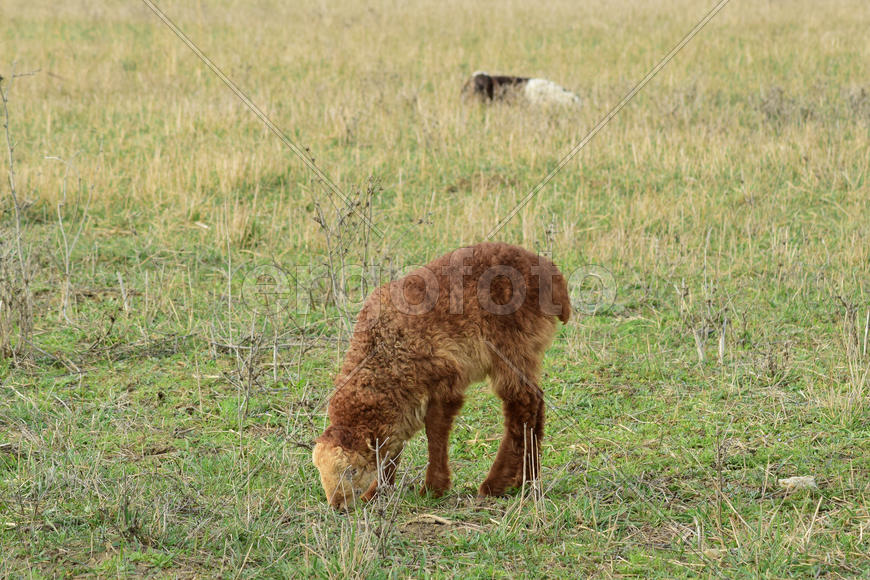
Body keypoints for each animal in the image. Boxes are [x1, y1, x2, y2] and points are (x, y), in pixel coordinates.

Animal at [312, 242, 571, 509]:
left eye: (352, 470)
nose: (337, 506)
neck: (384, 349)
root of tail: (553, 277)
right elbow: (392, 450)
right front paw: (376, 493)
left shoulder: (444, 380)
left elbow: (435, 432)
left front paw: (433, 488)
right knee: (535, 402)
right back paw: (529, 479)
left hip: (512, 346)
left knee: (521, 405)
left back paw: (495, 484)